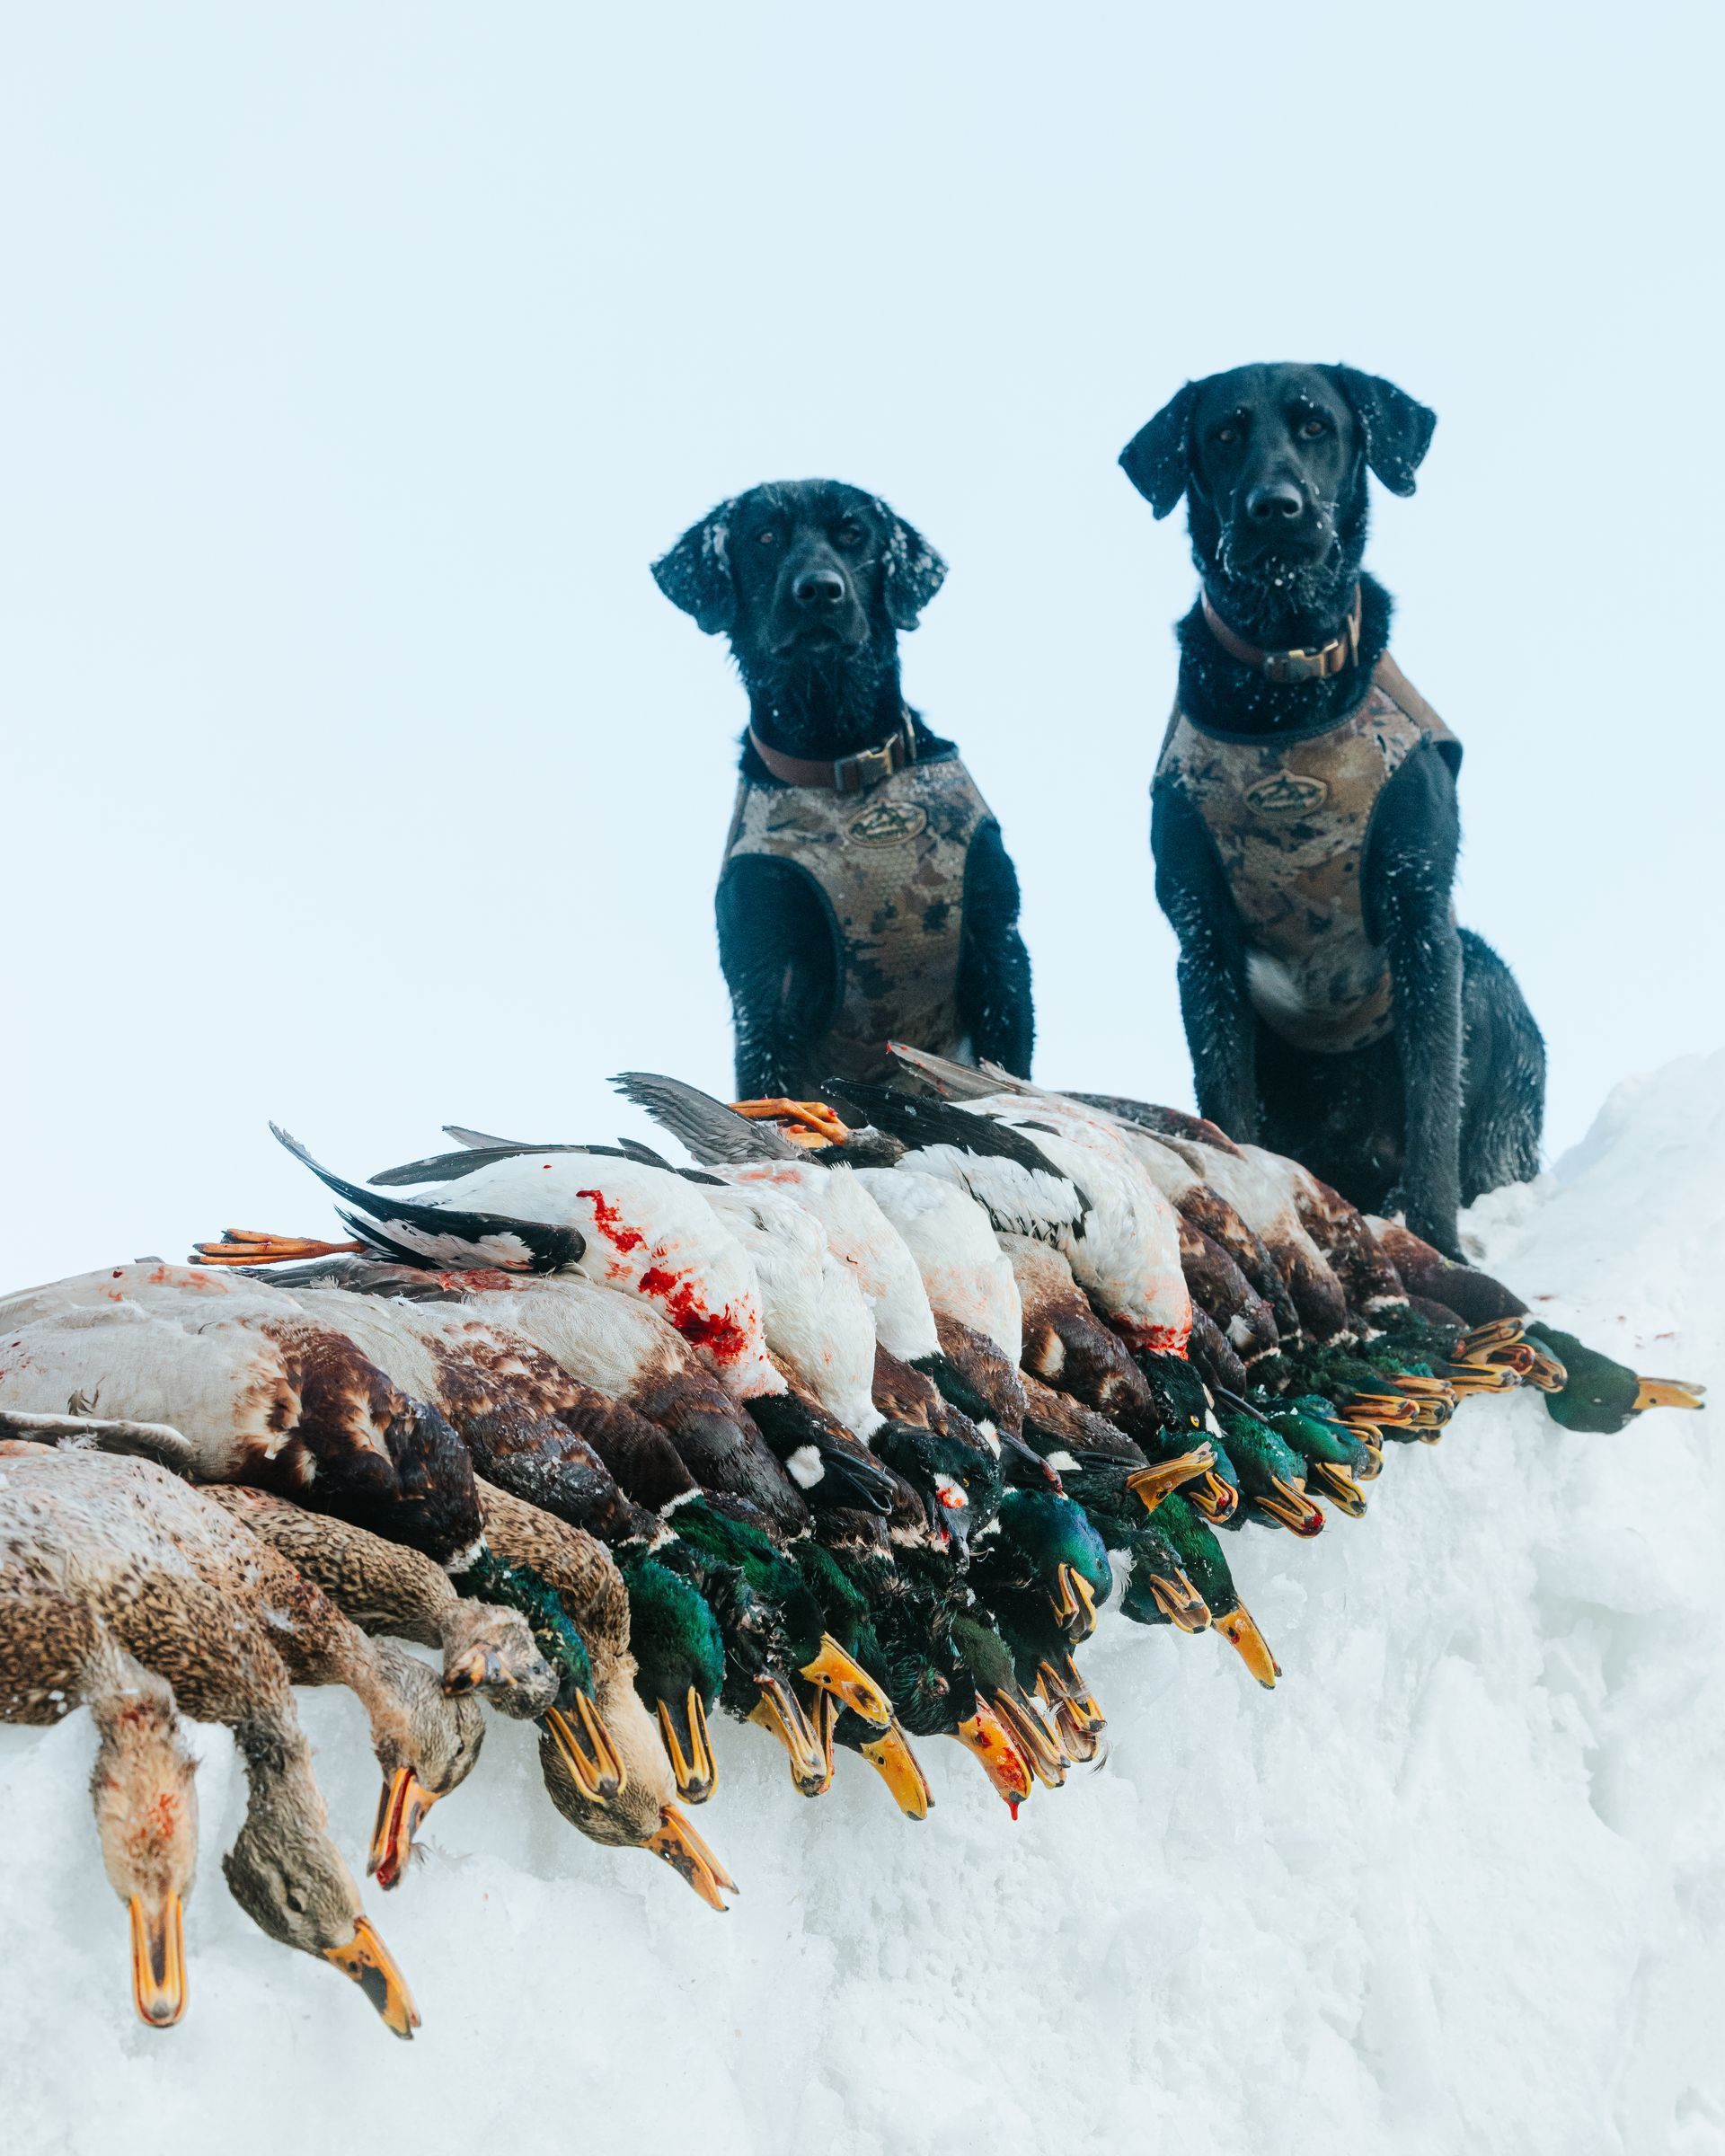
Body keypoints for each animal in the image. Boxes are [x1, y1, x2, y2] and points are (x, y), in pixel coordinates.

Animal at [647, 482, 1026, 1103]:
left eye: (852, 533)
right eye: (765, 537)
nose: (820, 590)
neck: (839, 760)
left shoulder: (999, 950)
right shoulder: (764, 977)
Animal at [1121, 362, 1552, 1259]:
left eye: (1316, 425)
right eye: (1224, 434)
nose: (1276, 507)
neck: (1283, 687)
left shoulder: (1423, 911)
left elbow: (1434, 1116)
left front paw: (1441, 1248)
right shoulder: (1200, 937)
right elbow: (1226, 1106)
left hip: (1480, 968)